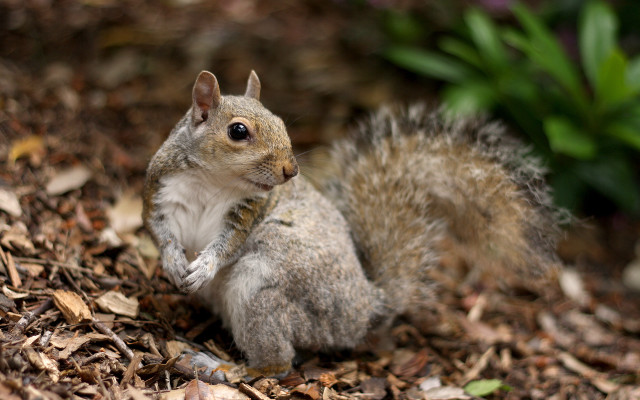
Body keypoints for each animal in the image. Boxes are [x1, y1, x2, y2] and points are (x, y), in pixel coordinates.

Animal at [143, 70, 562, 376]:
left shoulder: (248, 212)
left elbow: (227, 243)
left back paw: (222, 367)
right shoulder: (160, 193)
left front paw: (204, 265)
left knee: (277, 365)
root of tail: (367, 308)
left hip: (263, 290)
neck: (213, 182)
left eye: (282, 123)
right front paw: (173, 262)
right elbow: (160, 232)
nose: (291, 171)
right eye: (238, 131)